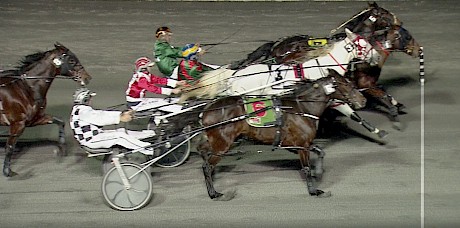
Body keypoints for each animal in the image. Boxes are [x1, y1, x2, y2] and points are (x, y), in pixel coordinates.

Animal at [0, 43, 92, 178]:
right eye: (71, 60)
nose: (87, 77)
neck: (26, 88)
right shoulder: (18, 124)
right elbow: (10, 147)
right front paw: (8, 171)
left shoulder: (35, 119)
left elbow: (60, 121)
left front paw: (62, 149)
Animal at [196, 70, 364, 200]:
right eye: (347, 84)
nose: (363, 100)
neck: (302, 108)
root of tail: (207, 110)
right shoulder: (301, 145)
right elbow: (306, 168)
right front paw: (314, 190)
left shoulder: (299, 143)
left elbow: (321, 151)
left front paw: (319, 172)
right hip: (223, 144)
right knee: (207, 166)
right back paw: (214, 193)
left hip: (218, 142)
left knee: (203, 151)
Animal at [230, 1, 420, 130]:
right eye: (385, 13)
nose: (400, 21)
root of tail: (277, 45)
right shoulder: (365, 84)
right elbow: (383, 95)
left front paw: (398, 105)